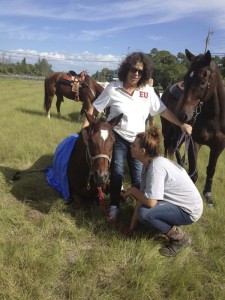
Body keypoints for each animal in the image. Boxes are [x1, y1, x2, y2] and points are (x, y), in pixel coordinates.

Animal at [161, 49, 225, 207]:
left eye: (202, 82)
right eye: (186, 79)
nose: (182, 115)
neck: (213, 118)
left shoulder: (219, 146)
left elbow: (211, 169)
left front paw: (208, 195)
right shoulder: (194, 142)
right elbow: (194, 172)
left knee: (175, 149)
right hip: (167, 130)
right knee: (167, 146)